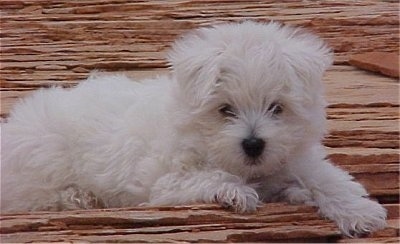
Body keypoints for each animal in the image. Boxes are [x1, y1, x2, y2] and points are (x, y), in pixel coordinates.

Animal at [1, 21, 386, 236]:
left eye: (277, 108)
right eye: (225, 109)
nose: (253, 144)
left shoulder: (296, 158)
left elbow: (328, 178)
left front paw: (361, 213)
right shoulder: (166, 182)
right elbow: (204, 178)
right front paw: (235, 193)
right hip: (44, 164)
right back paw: (79, 197)